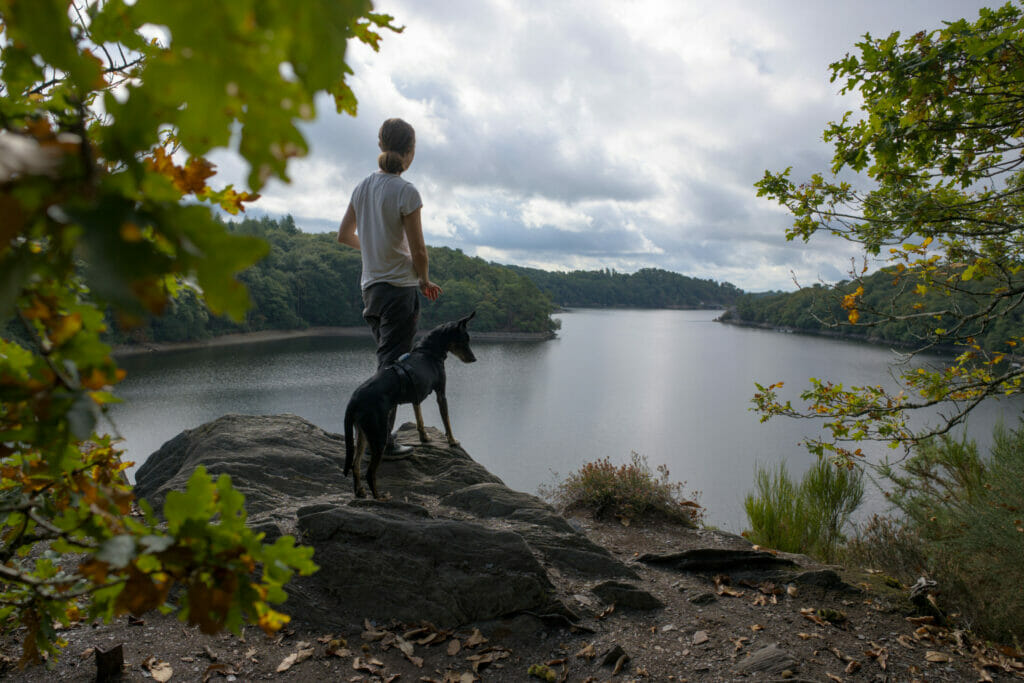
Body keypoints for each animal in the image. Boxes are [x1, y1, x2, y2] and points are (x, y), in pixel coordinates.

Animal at [339, 313, 475, 499]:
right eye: (464, 340)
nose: (474, 359)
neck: (428, 350)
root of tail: (353, 399)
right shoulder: (441, 394)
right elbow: (446, 420)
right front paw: (452, 441)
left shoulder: (416, 397)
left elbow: (420, 418)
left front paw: (424, 437)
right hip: (378, 434)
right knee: (370, 472)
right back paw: (379, 497)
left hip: (362, 433)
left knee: (355, 464)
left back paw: (359, 491)